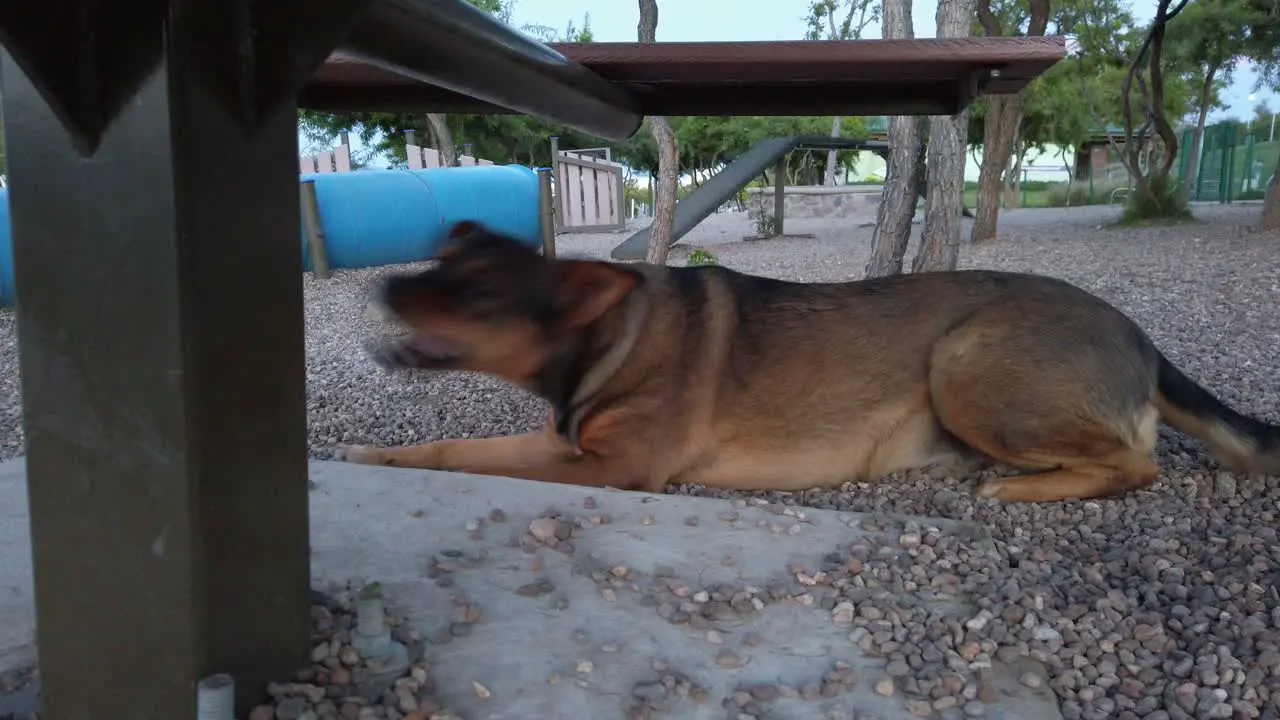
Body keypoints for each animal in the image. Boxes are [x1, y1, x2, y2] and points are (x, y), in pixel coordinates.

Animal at [337, 219, 1280, 499]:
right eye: (441, 261)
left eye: (481, 294)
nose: (384, 287)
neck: (611, 335)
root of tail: (1138, 334)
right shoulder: (565, 441)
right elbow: (450, 449)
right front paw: (370, 455)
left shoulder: (613, 468)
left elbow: (491, 468)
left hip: (964, 364)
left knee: (1139, 462)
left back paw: (1019, 489)